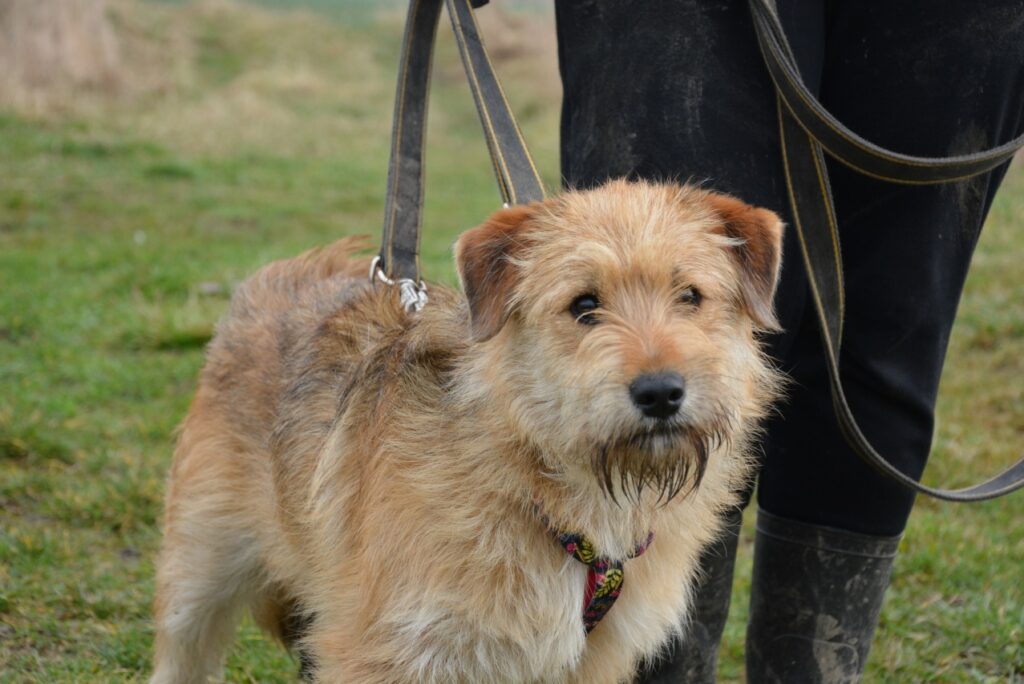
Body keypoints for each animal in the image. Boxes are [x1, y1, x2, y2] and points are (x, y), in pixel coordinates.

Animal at [149, 179, 782, 679]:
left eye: (690, 296)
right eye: (584, 305)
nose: (660, 393)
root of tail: (278, 274)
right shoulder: (385, 648)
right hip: (198, 573)